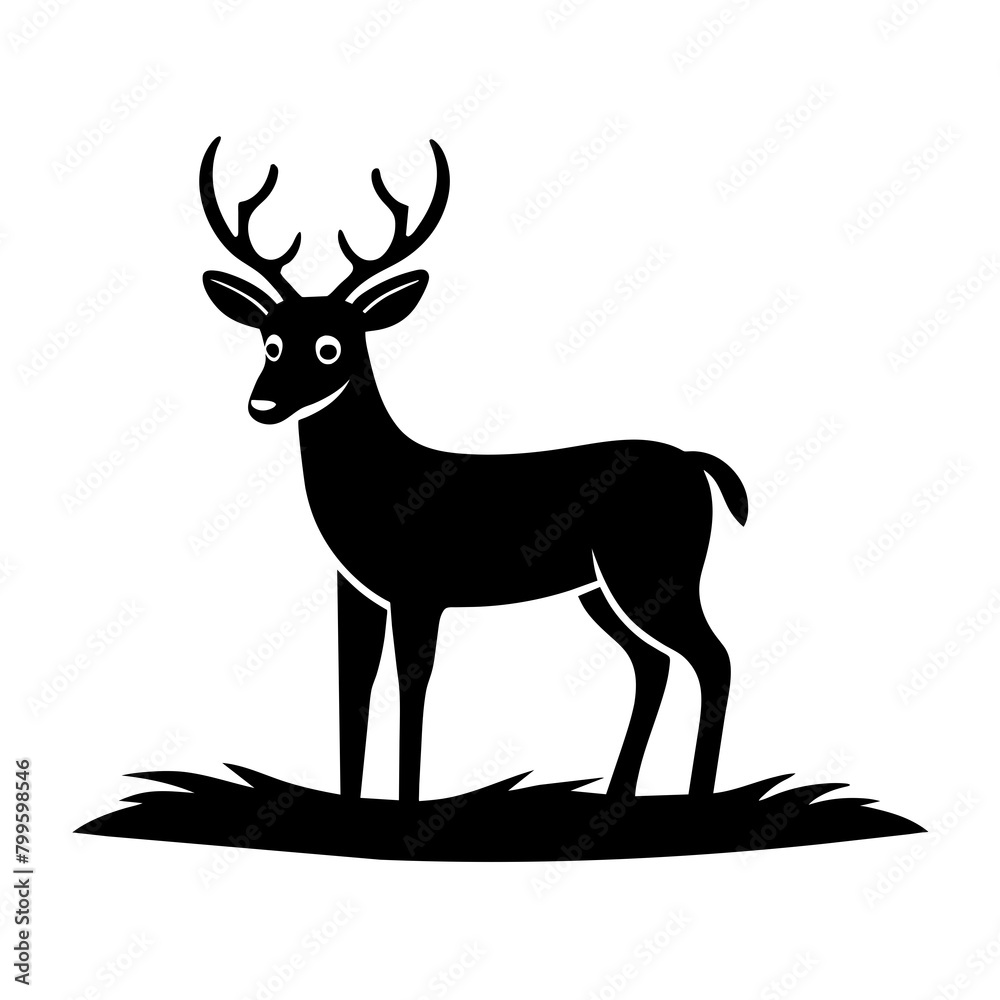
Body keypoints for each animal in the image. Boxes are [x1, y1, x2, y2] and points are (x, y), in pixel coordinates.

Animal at [199, 136, 748, 805]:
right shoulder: (355, 590)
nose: (263, 403)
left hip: (655, 569)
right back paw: (617, 794)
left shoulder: (418, 589)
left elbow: (411, 687)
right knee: (655, 663)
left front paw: (409, 804)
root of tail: (697, 465)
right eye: (270, 342)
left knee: (712, 659)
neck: (378, 484)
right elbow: (351, 689)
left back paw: (697, 797)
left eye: (331, 346)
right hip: (600, 587)